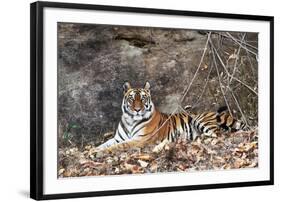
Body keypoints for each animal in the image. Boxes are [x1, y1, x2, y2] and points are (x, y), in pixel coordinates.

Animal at [96, 81, 245, 152]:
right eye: (132, 99)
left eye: (143, 98)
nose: (137, 110)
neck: (130, 121)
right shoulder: (117, 138)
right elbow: (105, 143)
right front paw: (94, 150)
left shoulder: (140, 139)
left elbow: (120, 146)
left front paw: (101, 152)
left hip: (200, 120)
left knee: (218, 134)